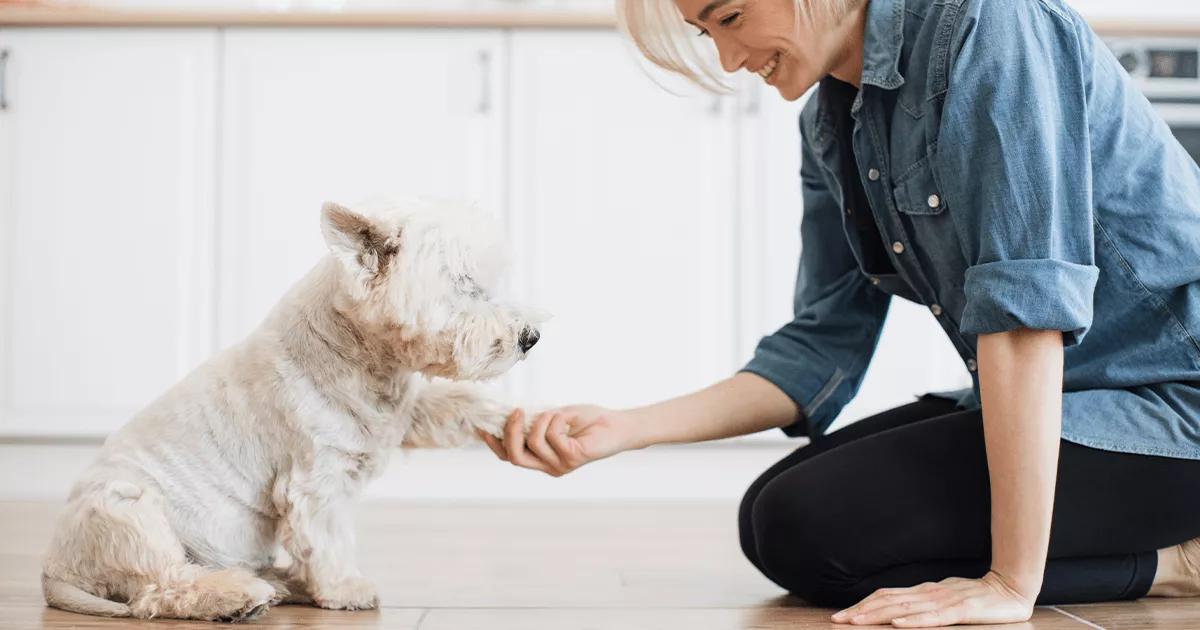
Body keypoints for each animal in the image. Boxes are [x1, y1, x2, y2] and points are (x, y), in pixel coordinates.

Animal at [38, 196, 544, 619]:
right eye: (465, 285)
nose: (531, 337)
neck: (358, 352)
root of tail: (54, 570)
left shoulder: (401, 414)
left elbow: (450, 404)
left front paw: (518, 421)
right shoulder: (315, 479)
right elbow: (326, 538)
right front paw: (345, 589)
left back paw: (280, 584)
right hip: (128, 512)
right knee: (160, 587)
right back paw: (239, 597)